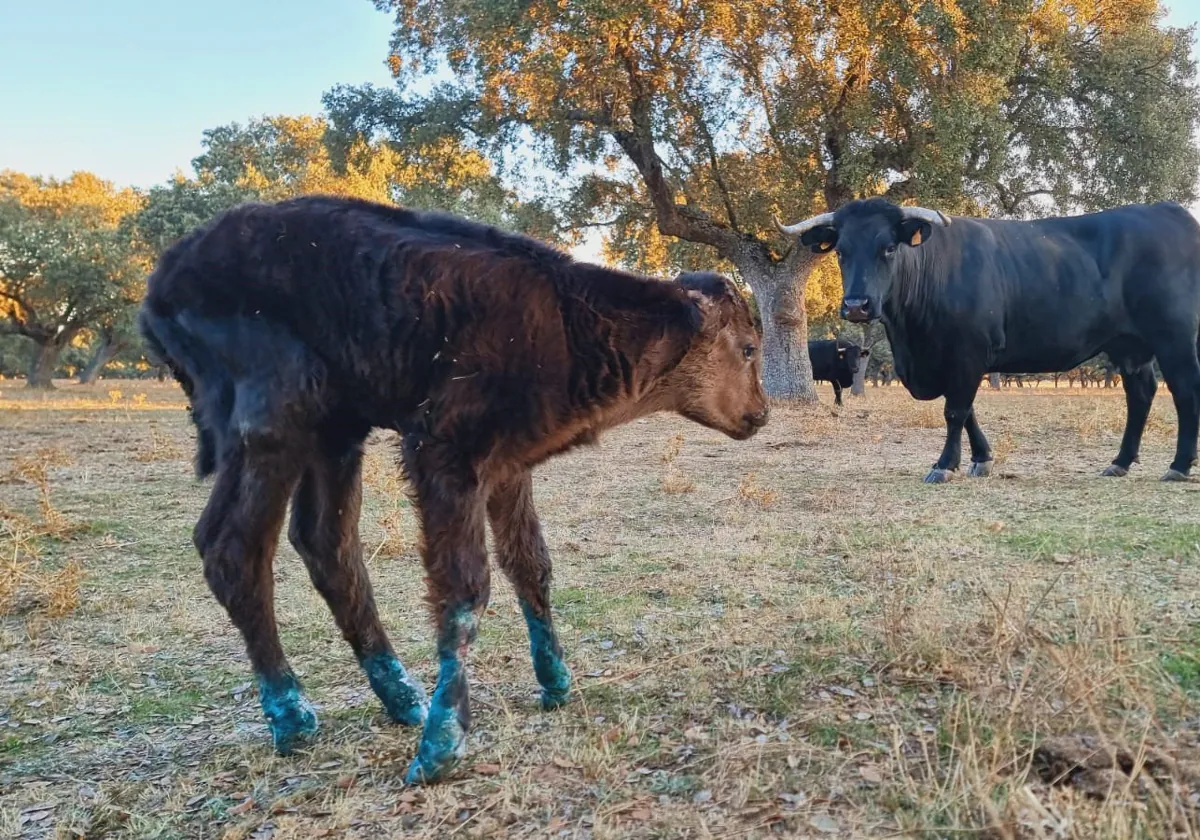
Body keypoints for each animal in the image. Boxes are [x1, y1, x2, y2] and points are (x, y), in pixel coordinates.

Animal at [777, 196, 1200, 482]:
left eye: (889, 247)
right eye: (841, 252)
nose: (856, 305)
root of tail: (1170, 211)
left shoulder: (967, 354)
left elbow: (955, 411)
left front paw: (944, 465)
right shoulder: (954, 361)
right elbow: (967, 411)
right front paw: (981, 459)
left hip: (1174, 337)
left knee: (1184, 391)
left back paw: (1178, 465)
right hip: (1129, 345)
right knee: (1141, 394)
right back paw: (1120, 462)